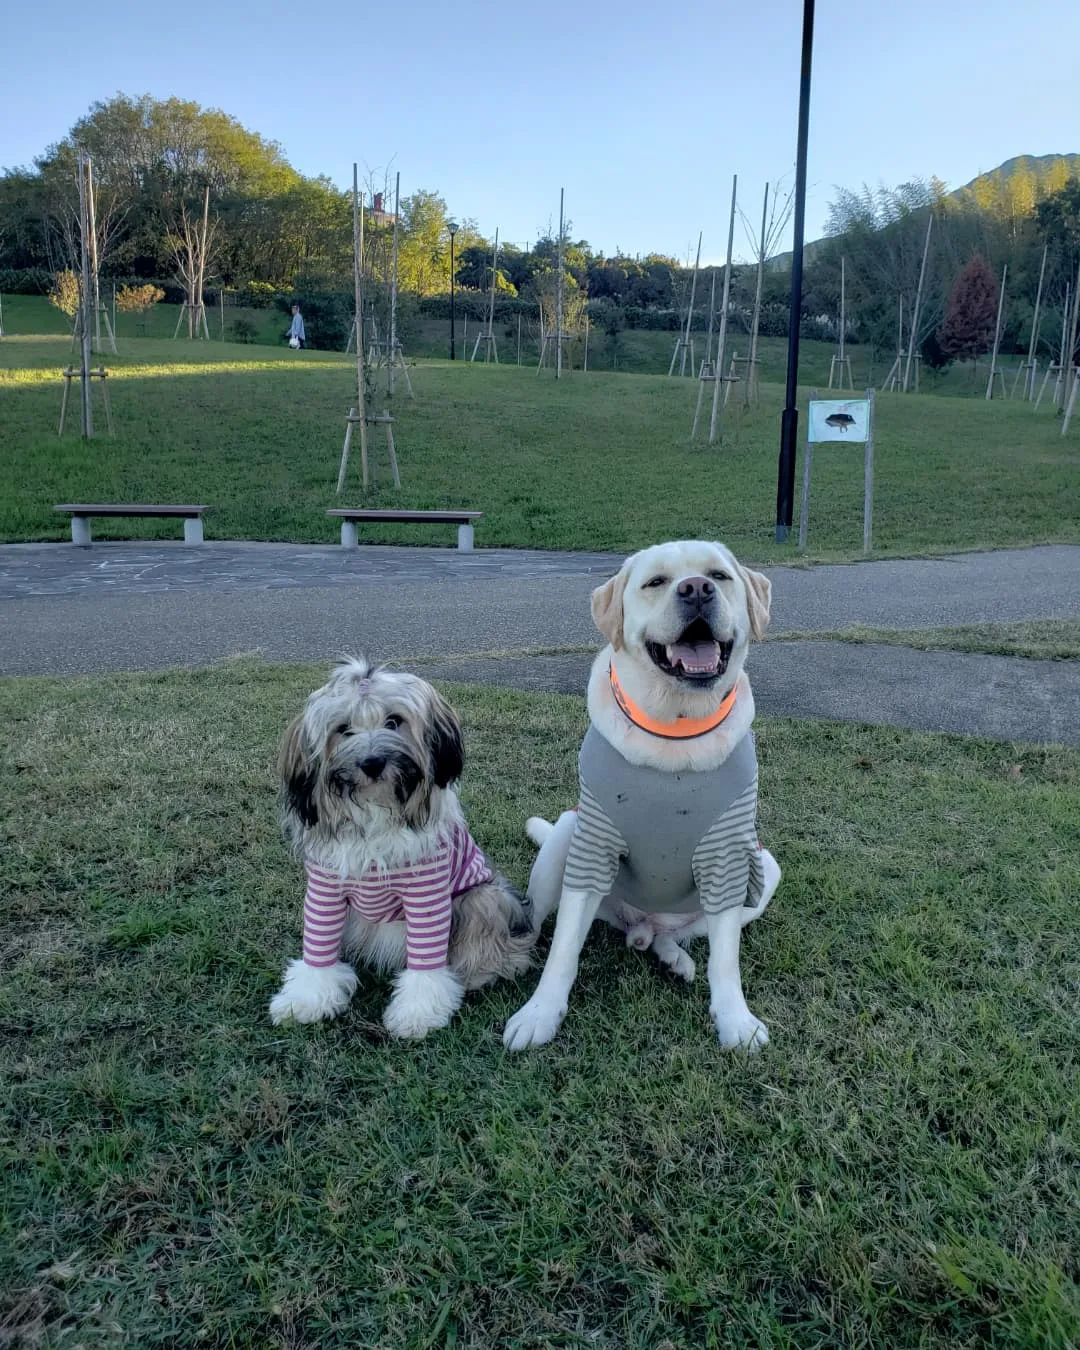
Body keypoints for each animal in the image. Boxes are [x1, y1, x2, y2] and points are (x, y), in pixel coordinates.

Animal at [268, 658, 534, 1036]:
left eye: (393, 721)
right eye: (343, 728)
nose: (372, 763)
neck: (377, 810)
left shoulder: (427, 894)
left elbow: (426, 964)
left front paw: (418, 1012)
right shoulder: (325, 891)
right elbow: (317, 950)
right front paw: (306, 999)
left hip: (481, 897)